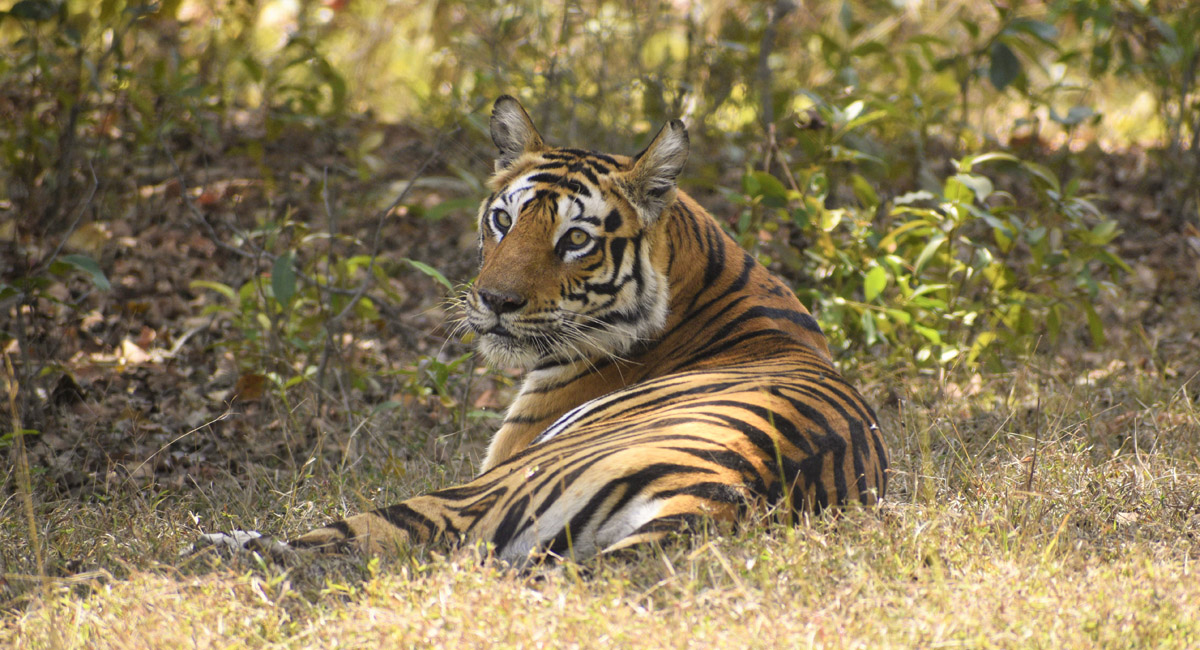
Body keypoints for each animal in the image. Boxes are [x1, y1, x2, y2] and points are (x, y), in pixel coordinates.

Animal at [200, 95, 888, 563]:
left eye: (576, 239)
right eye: (503, 220)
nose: (495, 300)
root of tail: (724, 493)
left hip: (480, 492)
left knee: (322, 545)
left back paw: (211, 549)